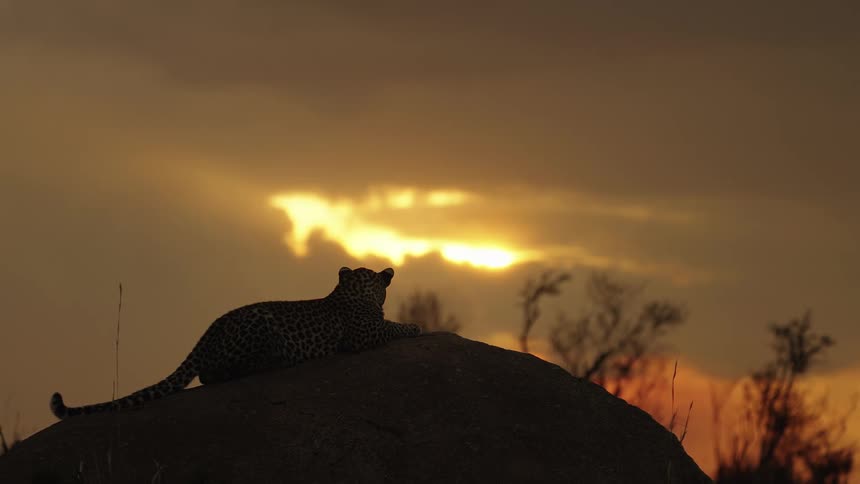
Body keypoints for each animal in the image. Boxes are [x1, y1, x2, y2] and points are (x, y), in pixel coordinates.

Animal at [50, 266, 421, 419]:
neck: (350, 291)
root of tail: (210, 329)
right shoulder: (364, 334)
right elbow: (391, 326)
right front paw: (415, 326)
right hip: (259, 323)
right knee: (214, 374)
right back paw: (274, 360)